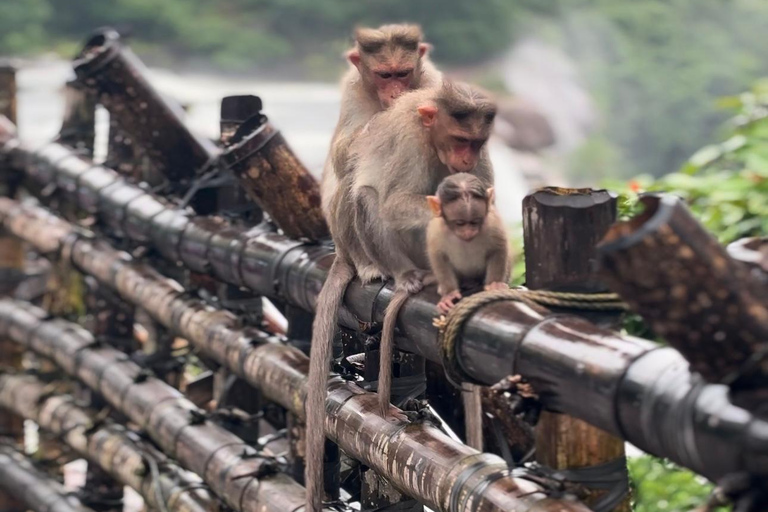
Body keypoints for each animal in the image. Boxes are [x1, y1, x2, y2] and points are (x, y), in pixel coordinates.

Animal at [304, 25, 440, 512]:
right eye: (384, 75)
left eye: (403, 72)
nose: (396, 92)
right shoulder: (352, 89)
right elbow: (348, 149)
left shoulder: (430, 83)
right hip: (346, 238)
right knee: (354, 177)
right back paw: (367, 265)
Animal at [424, 172, 512, 448]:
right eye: (460, 223)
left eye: (475, 222)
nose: (469, 232)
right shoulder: (436, 231)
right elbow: (438, 256)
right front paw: (448, 294)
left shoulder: (492, 224)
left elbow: (499, 249)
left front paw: (494, 285)